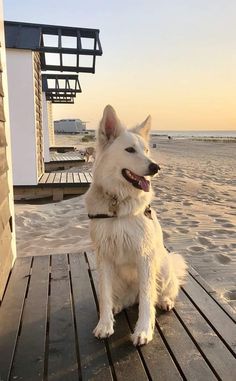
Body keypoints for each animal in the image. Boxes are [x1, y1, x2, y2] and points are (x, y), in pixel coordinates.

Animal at [85, 104, 187, 344]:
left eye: (147, 150)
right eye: (130, 150)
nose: (156, 167)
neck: (118, 201)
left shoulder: (145, 256)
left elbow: (148, 297)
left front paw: (143, 330)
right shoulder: (103, 256)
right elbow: (104, 296)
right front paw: (104, 324)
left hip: (164, 267)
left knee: (165, 291)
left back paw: (165, 301)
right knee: (119, 297)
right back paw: (118, 304)